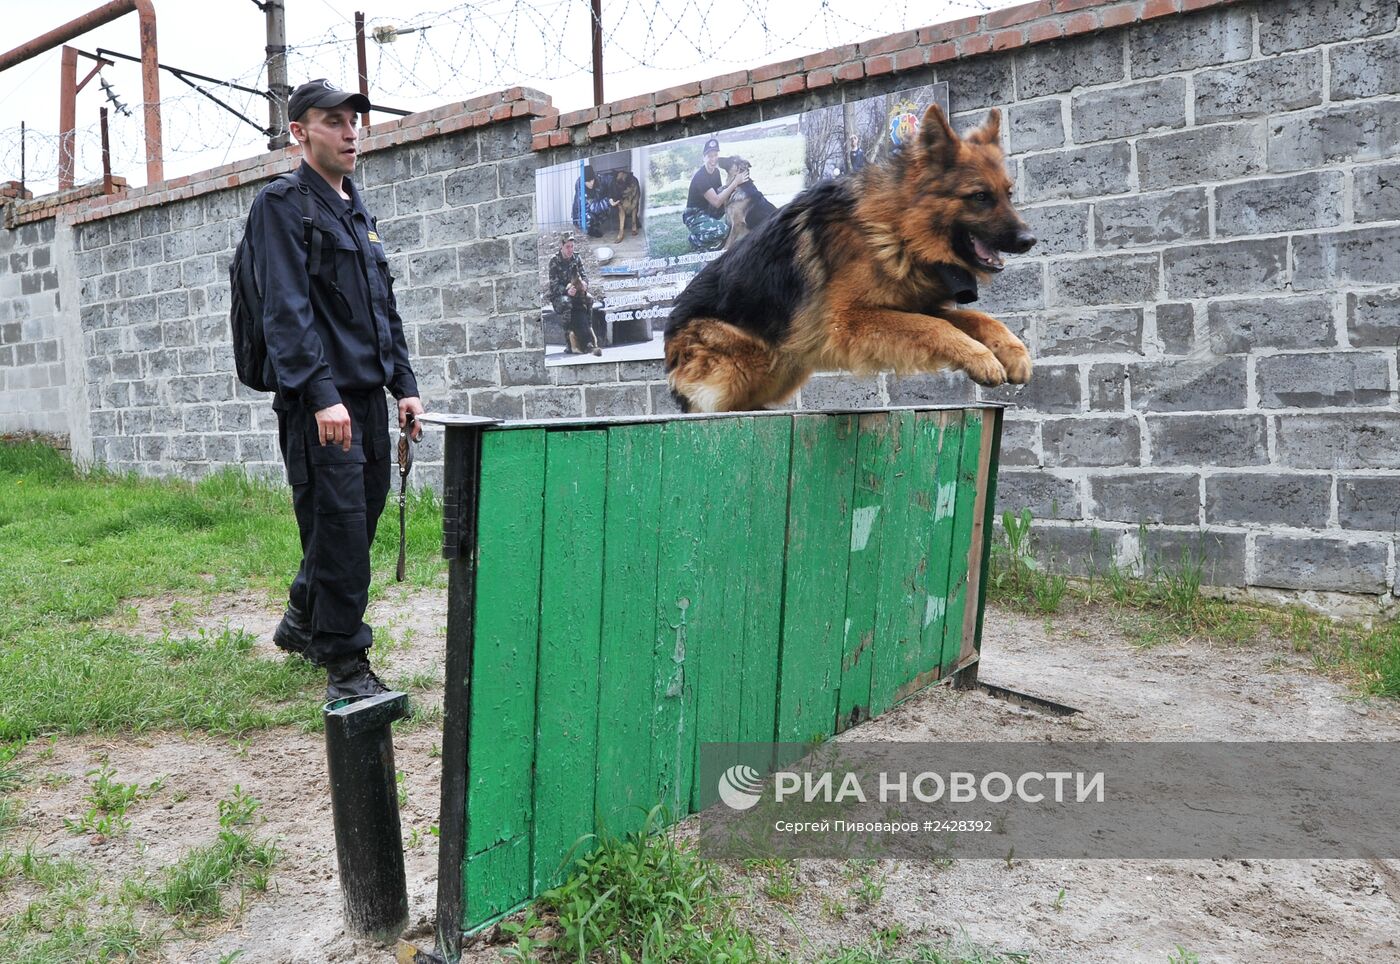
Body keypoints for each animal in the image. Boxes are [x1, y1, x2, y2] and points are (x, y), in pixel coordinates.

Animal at [666, 106, 1041, 414]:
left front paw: (1012, 350)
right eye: (979, 197)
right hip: (748, 363)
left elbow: (974, 318)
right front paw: (982, 358)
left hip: (786, 363)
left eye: (1007, 194)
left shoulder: (913, 305)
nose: (1029, 240)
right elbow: (935, 327)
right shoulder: (851, 320)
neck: (895, 226)